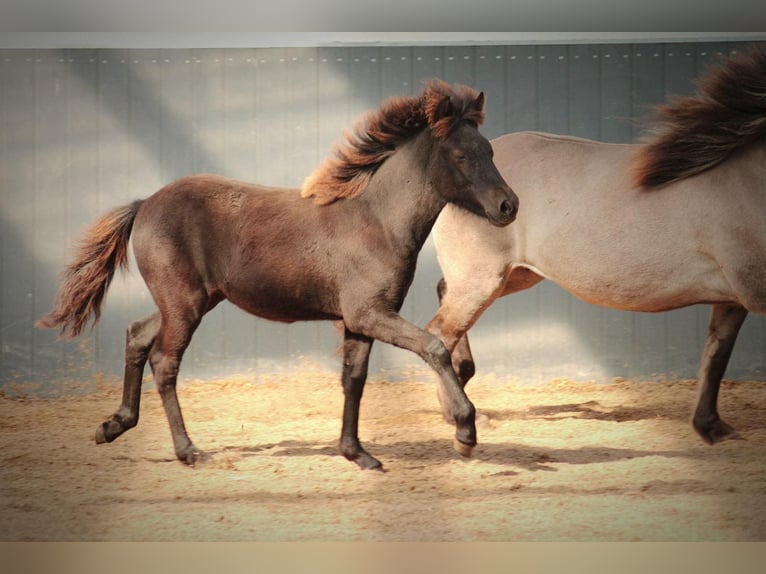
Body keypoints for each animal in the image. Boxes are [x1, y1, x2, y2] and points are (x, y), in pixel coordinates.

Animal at [37, 80, 518, 471]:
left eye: (492, 151)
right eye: (461, 155)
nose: (508, 205)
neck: (376, 220)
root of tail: (144, 204)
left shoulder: (359, 320)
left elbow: (354, 380)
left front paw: (357, 454)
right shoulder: (370, 314)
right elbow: (433, 347)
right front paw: (465, 429)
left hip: (191, 300)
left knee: (137, 335)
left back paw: (113, 425)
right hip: (184, 304)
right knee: (165, 362)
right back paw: (187, 450)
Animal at [427, 46, 766, 445]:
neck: (745, 178)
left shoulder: (732, 299)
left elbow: (716, 356)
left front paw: (711, 427)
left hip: (513, 276)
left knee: (443, 300)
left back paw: (458, 388)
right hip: (483, 279)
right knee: (439, 332)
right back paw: (458, 416)